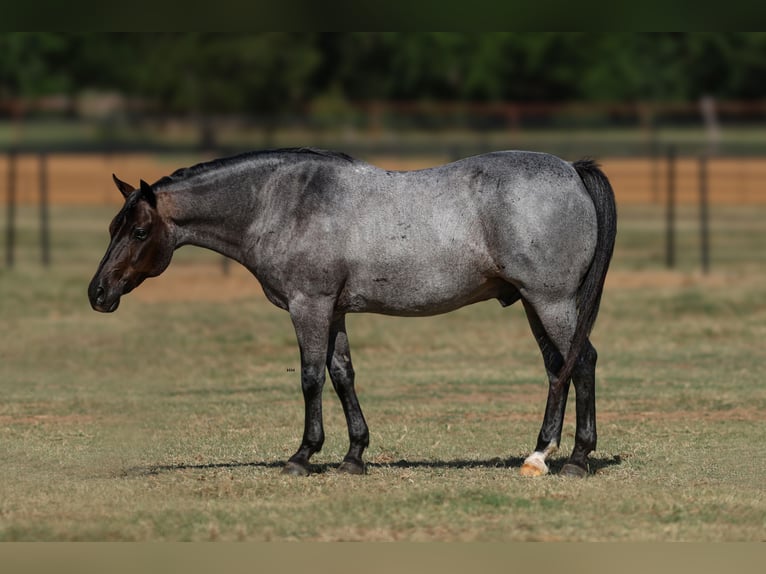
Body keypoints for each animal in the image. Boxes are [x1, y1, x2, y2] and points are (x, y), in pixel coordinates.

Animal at [88, 147, 616, 476]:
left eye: (139, 231)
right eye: (113, 227)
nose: (97, 292)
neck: (284, 202)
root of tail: (571, 170)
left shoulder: (309, 305)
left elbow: (310, 377)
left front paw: (303, 455)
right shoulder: (334, 310)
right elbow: (342, 374)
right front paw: (354, 455)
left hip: (551, 301)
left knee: (583, 362)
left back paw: (576, 458)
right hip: (533, 303)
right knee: (558, 368)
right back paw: (539, 454)